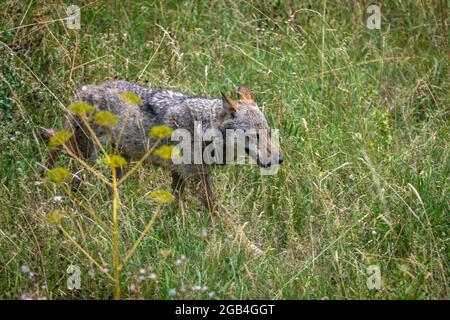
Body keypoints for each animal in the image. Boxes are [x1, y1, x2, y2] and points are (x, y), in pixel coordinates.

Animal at [42, 80, 282, 211]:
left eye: (268, 133)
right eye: (255, 136)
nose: (280, 159)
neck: (203, 127)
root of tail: (85, 89)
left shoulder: (179, 175)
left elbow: (175, 205)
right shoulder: (197, 180)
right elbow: (221, 215)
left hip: (117, 160)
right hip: (86, 153)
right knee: (55, 144)